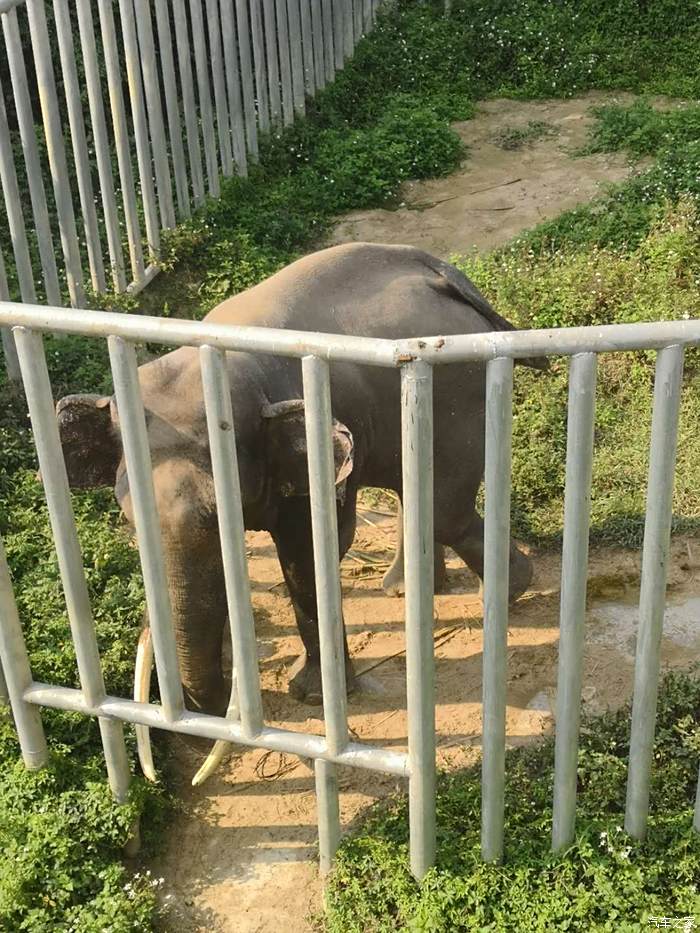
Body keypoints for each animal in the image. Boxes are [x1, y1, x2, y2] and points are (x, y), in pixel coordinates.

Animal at [56, 242, 540, 772]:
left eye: (221, 517)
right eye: (127, 522)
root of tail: (444, 275)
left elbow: (309, 555)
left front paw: (314, 695)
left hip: (457, 391)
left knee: (445, 510)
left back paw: (506, 592)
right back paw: (405, 589)